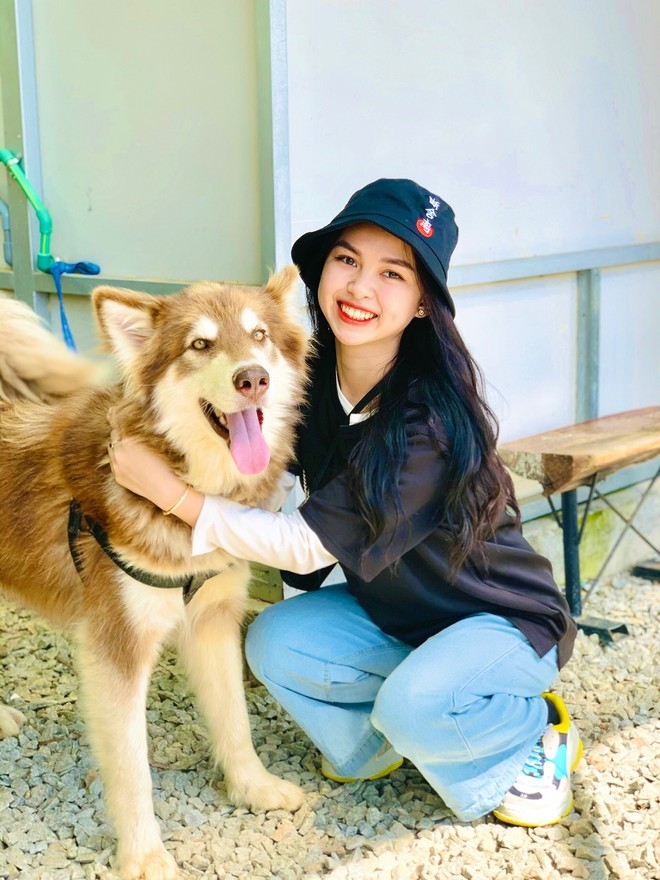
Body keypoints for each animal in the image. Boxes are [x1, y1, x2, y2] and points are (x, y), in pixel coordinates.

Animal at [0, 264, 310, 876]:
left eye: (259, 335)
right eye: (200, 345)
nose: (253, 378)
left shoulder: (213, 620)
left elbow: (234, 721)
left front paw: (253, 787)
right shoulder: (116, 645)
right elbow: (131, 767)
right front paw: (144, 855)